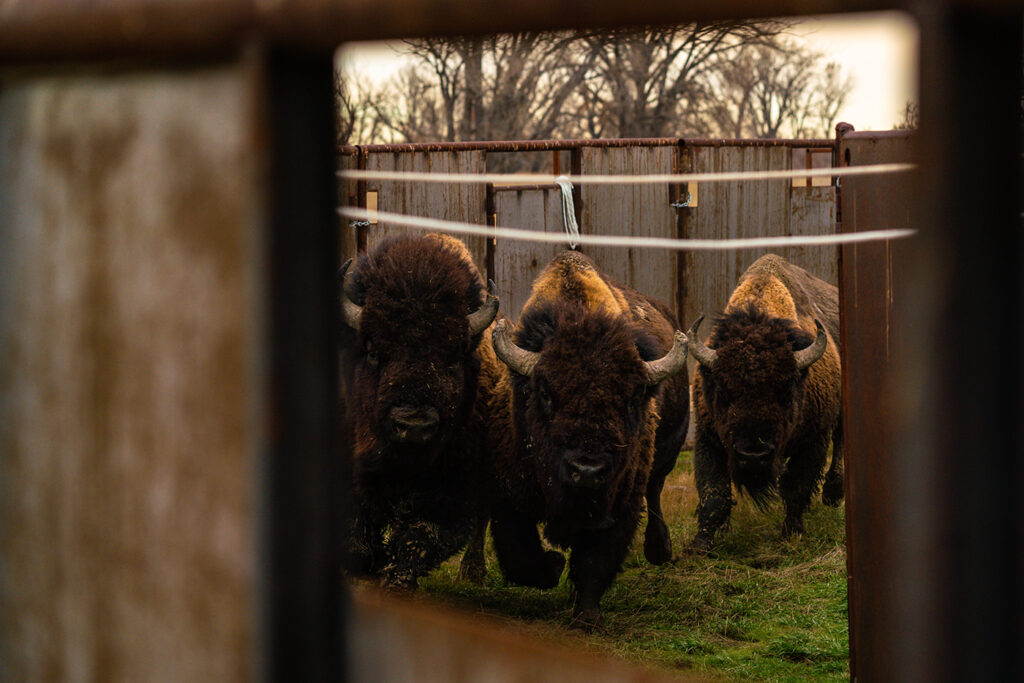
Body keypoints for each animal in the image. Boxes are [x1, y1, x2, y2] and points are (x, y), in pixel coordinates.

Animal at [339, 233, 499, 588]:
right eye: (373, 351)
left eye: (454, 358)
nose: (413, 426)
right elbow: (358, 534)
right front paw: (373, 562)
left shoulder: (451, 494)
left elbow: (419, 538)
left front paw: (394, 577)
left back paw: (473, 571)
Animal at [488, 251, 690, 627]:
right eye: (545, 393)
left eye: (633, 399)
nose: (587, 470)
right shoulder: (509, 497)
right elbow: (521, 556)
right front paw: (554, 565)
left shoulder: (620, 502)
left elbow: (597, 559)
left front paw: (587, 615)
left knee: (655, 492)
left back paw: (660, 551)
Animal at [688, 253, 843, 552]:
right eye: (723, 389)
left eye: (785, 388)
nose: (753, 455)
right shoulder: (708, 437)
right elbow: (714, 493)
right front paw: (701, 545)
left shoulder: (814, 441)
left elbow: (796, 486)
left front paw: (793, 533)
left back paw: (832, 495)